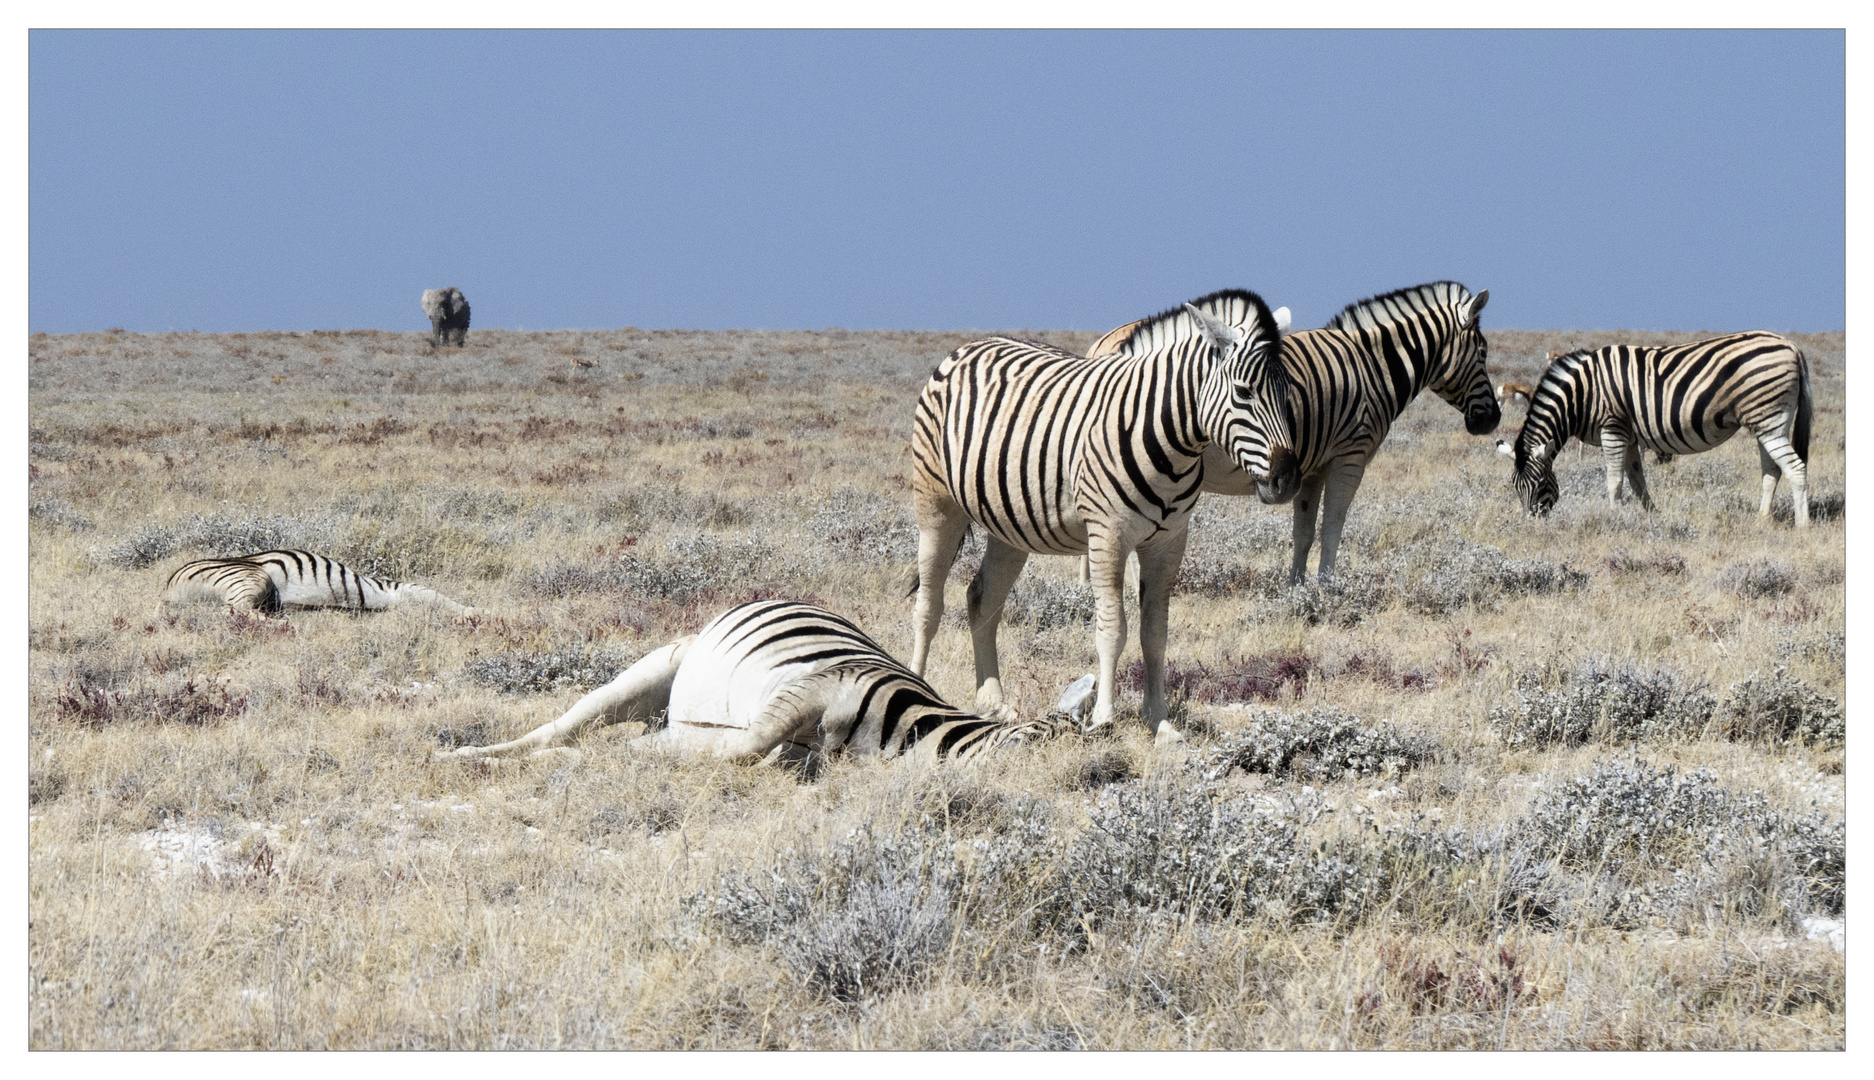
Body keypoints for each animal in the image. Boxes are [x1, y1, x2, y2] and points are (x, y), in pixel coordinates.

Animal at [429, 600, 1071, 768]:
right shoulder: (818, 686)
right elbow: (740, 748)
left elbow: (755, 752)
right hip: (656, 667)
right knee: (562, 729)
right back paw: (466, 757)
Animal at [910, 286, 1304, 746]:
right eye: (1244, 392)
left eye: (1288, 393)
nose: (1287, 480)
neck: (1171, 442)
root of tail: (971, 344)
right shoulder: (1108, 536)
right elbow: (1113, 631)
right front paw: (1104, 717)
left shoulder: (1169, 542)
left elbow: (1155, 634)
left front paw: (1160, 721)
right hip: (936, 503)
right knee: (929, 606)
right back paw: (919, 690)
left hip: (1008, 526)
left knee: (981, 599)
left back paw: (994, 702)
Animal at [1094, 277, 1499, 581]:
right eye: (1483, 353)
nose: (1492, 420)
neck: (1373, 367)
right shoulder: (1350, 458)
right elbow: (1333, 526)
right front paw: (1328, 589)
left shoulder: (1311, 470)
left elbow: (1303, 533)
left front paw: (1297, 590)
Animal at [1491, 333, 1814, 528]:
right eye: (1516, 488)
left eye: (1541, 483)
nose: (1532, 524)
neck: (1581, 395)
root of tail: (1792, 345)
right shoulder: (1631, 436)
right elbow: (1637, 481)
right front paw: (1650, 518)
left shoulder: (1613, 428)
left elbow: (1614, 481)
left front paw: (1612, 519)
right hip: (1768, 421)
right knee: (1772, 469)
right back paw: (1762, 519)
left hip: (1769, 418)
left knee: (1796, 467)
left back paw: (1802, 525)